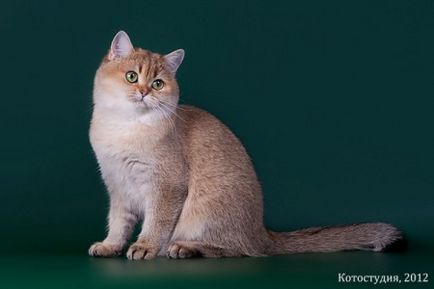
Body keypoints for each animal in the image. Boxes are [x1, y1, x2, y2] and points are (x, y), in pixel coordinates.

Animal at [88, 31, 404, 258]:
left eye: (157, 84)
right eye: (132, 76)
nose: (143, 92)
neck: (125, 129)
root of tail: (262, 233)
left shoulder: (166, 187)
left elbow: (156, 223)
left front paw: (145, 247)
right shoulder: (117, 186)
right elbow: (118, 222)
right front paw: (110, 245)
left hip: (206, 210)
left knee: (237, 250)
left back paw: (186, 248)